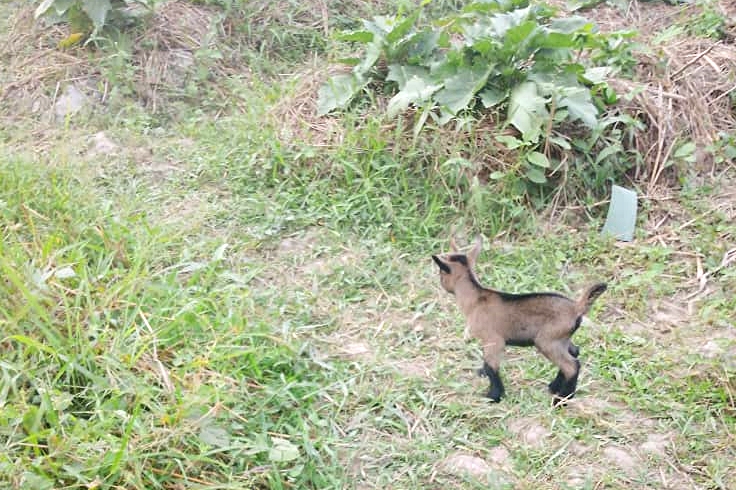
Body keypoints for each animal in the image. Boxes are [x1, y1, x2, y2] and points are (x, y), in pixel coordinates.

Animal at [432, 235, 607, 405]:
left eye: (440, 272)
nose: (440, 283)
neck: (476, 298)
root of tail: (576, 307)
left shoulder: (493, 340)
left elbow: (491, 366)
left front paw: (494, 396)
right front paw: (483, 375)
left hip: (547, 341)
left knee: (571, 366)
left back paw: (560, 401)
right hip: (561, 339)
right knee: (575, 353)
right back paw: (554, 387)